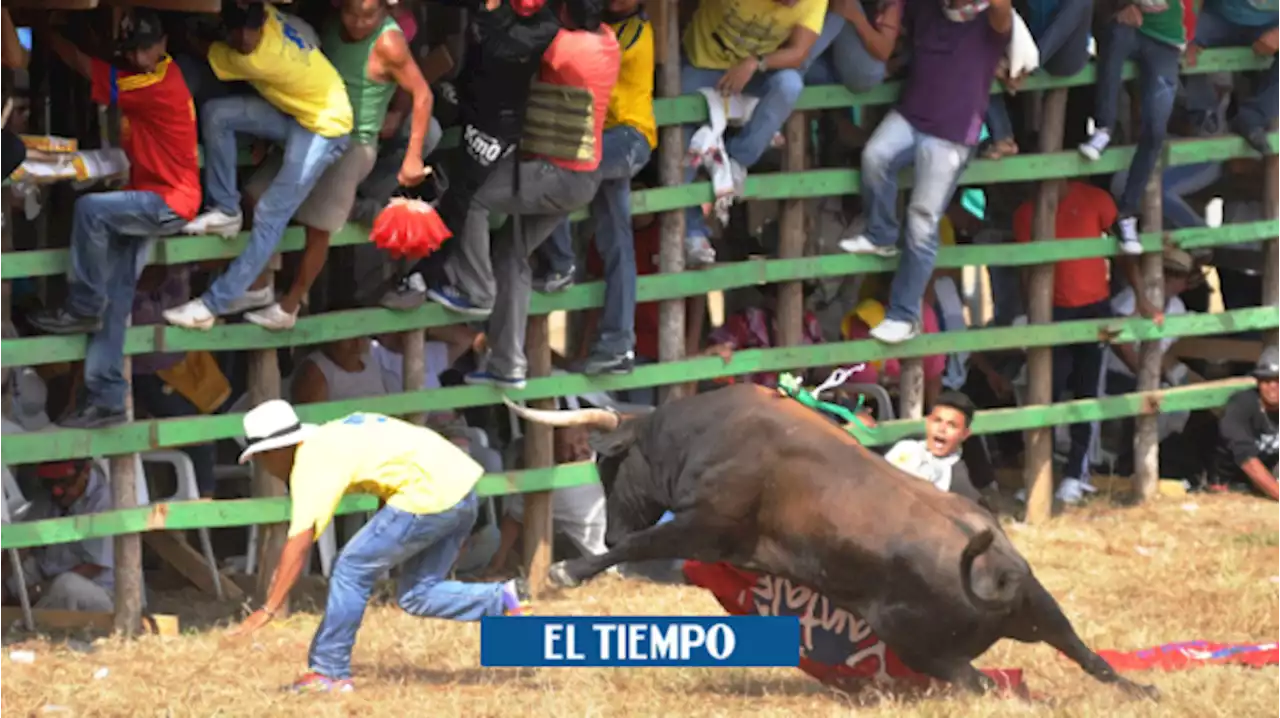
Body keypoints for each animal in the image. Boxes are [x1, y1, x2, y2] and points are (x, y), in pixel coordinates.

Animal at [506, 383, 1162, 696]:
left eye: (608, 466)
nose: (611, 523)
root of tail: (994, 576)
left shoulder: (707, 525)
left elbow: (642, 546)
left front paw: (569, 571)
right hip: (1039, 608)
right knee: (1088, 657)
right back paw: (1142, 688)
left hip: (927, 647)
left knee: (986, 687)